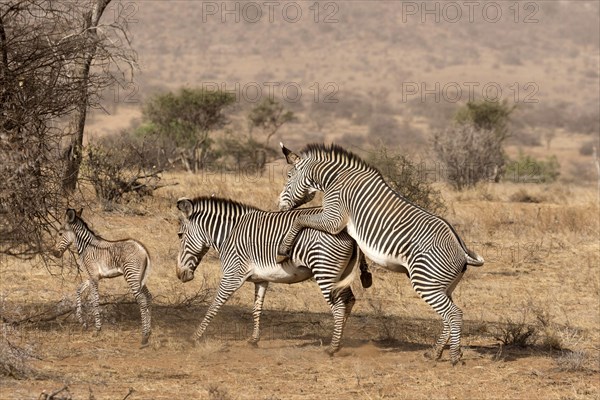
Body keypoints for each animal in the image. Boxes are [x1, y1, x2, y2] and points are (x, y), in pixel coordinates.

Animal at [53, 209, 152, 346]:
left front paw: (97, 329)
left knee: (142, 300)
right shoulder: (92, 276)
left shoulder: (94, 276)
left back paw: (144, 337)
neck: (86, 247)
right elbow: (78, 290)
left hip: (131, 276)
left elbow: (95, 300)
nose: (54, 253)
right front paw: (82, 322)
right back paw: (149, 332)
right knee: (148, 297)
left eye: (60, 233)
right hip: (139, 278)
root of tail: (143, 249)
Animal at [173, 195, 360, 354]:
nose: (179, 274)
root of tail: (347, 231)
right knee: (349, 300)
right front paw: (253, 340)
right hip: (339, 274)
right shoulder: (261, 279)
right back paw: (339, 340)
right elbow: (257, 308)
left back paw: (333, 347)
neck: (229, 234)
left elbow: (214, 305)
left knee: (338, 306)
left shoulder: (233, 274)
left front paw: (194, 338)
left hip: (324, 270)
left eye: (180, 235)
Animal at [276, 144, 482, 366]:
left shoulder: (334, 219)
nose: (279, 206)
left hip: (426, 282)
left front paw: (282, 249)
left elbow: (301, 219)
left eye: (289, 175)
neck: (334, 178)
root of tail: (462, 251)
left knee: (454, 314)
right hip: (443, 286)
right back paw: (434, 353)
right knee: (448, 317)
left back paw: (454, 357)